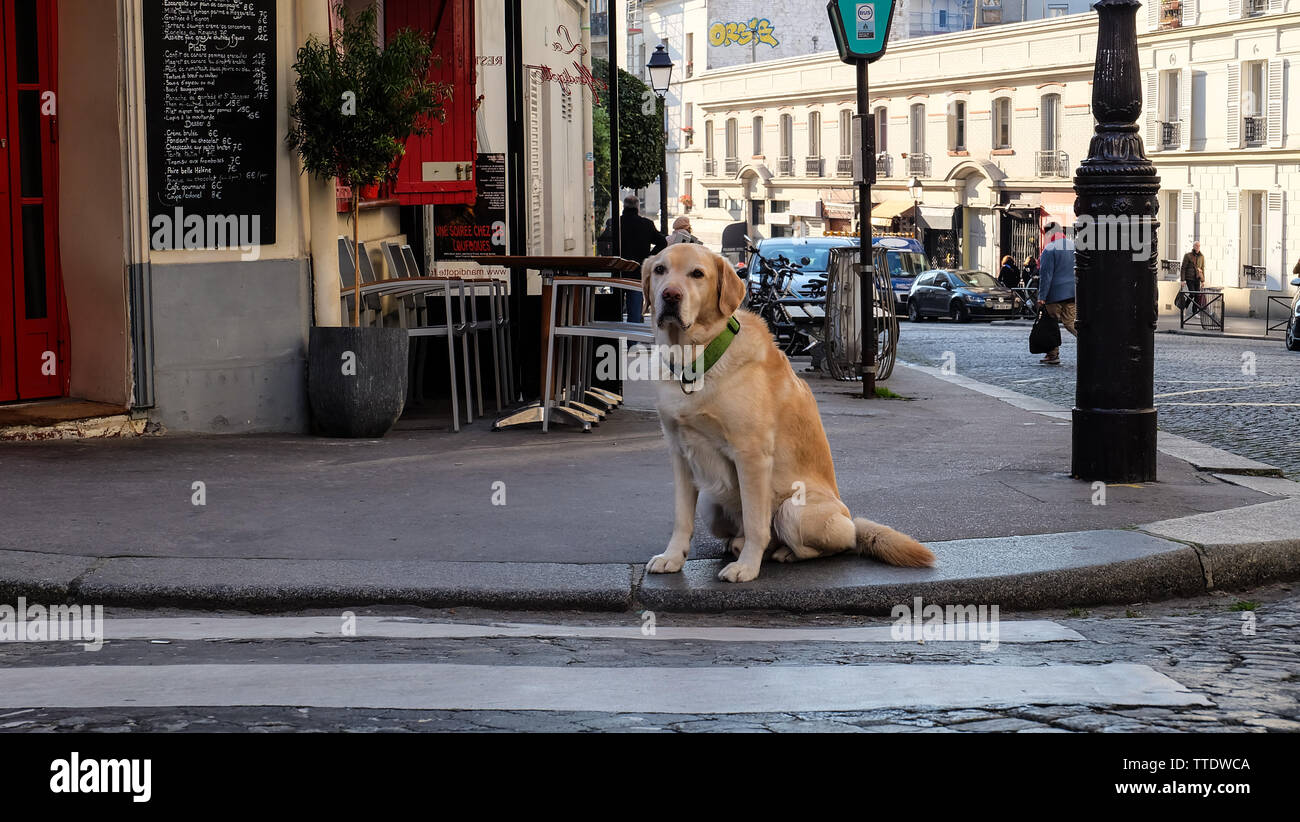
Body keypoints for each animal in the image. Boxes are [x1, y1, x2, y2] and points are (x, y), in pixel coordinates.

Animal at [642, 240, 935, 580]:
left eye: (697, 274)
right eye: (660, 270)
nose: (670, 295)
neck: (696, 361)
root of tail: (849, 516)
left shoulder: (751, 455)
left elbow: (756, 522)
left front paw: (747, 567)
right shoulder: (680, 455)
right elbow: (681, 517)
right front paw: (673, 557)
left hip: (793, 510)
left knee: (826, 543)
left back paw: (781, 553)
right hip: (712, 504)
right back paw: (740, 545)